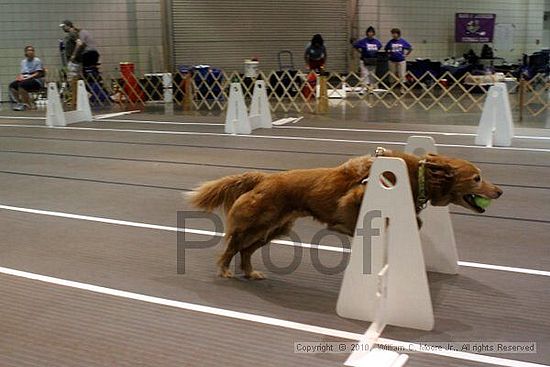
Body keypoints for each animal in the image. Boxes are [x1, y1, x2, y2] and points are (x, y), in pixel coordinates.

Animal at [190, 148, 504, 280]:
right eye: (476, 178)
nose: (500, 191)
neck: (418, 175)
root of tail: (264, 178)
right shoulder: (355, 197)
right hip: (257, 224)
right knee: (232, 246)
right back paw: (225, 270)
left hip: (275, 229)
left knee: (245, 251)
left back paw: (249, 272)